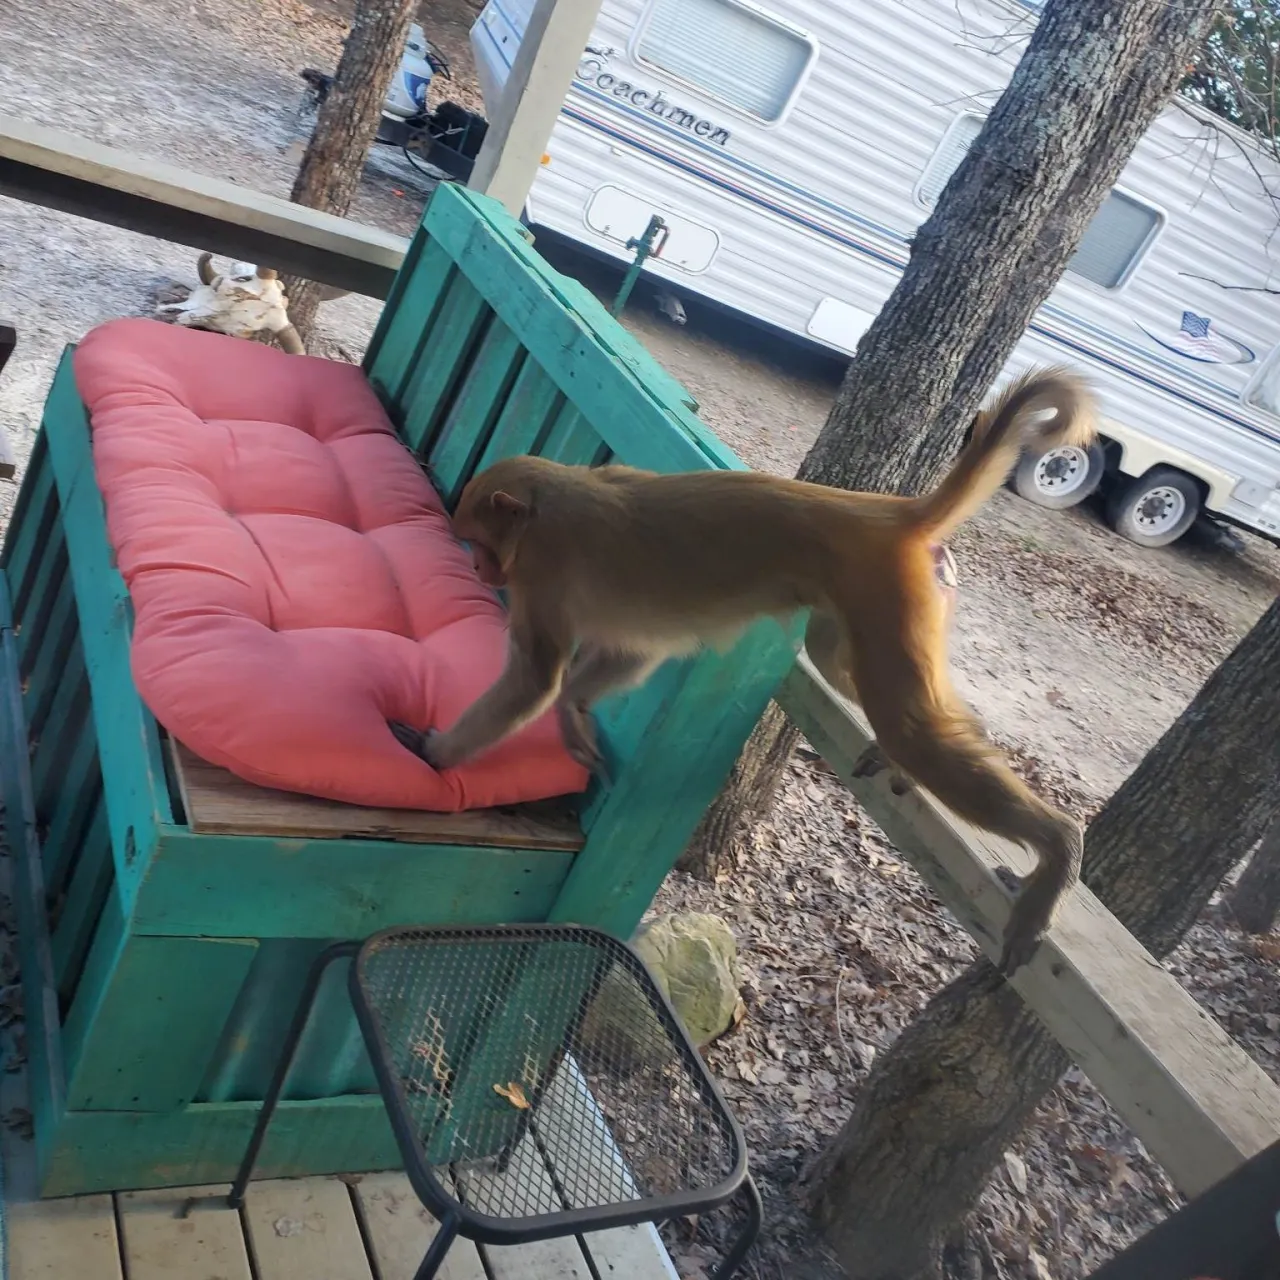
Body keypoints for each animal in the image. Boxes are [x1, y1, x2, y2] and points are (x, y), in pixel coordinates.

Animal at [388, 368, 1095, 975]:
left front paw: (432, 755)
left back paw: (1059, 846)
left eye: (481, 548)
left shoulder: (544, 572)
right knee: (856, 673)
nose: (477, 568)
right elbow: (630, 653)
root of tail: (884, 514)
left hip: (889, 591)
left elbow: (536, 681)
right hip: (886, 602)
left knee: (913, 728)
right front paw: (574, 718)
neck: (551, 502)